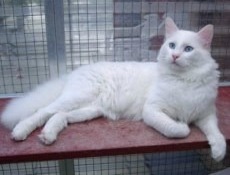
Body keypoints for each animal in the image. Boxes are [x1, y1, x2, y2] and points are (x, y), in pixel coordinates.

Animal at [0, 17, 226, 161]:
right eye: (171, 45)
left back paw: (48, 135)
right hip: (76, 98)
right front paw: (182, 126)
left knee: (59, 116)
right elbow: (176, 130)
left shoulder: (206, 114)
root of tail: (75, 71)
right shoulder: (153, 110)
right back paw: (20, 131)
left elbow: (216, 132)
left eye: (188, 49)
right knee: (42, 112)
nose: (175, 56)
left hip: (89, 109)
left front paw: (219, 152)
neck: (183, 80)